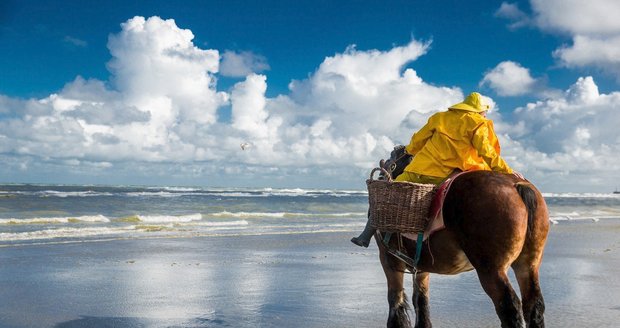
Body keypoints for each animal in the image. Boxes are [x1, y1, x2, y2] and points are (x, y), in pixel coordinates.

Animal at [376, 147, 548, 328]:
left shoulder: (389, 260)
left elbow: (395, 300)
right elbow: (421, 300)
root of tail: (516, 185)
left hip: (491, 270)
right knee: (534, 304)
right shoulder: (421, 267)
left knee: (509, 307)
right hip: (528, 265)